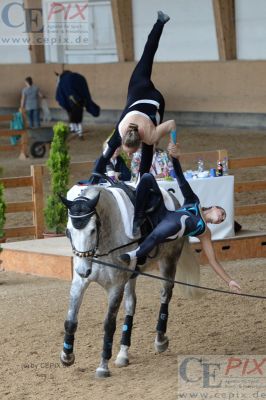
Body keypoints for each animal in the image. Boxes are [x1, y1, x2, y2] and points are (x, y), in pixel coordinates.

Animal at [58, 184, 200, 378]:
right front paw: (67, 356)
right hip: (131, 277)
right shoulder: (80, 283)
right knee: (131, 304)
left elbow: (109, 325)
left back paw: (160, 340)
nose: (82, 270)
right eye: (69, 231)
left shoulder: (115, 287)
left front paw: (103, 366)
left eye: (93, 230)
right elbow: (70, 321)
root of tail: (173, 198)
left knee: (165, 295)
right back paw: (123, 353)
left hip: (168, 261)